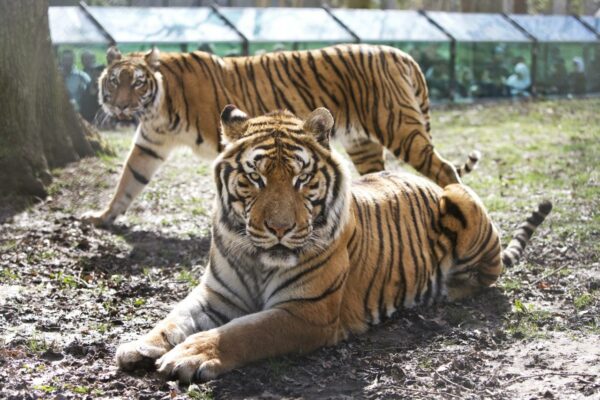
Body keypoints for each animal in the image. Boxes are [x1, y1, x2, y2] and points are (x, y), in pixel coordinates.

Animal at [85, 44, 474, 227]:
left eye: (137, 83)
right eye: (114, 81)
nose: (121, 107)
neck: (157, 110)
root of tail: (402, 53)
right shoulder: (148, 145)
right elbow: (127, 182)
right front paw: (103, 217)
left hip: (398, 127)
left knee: (445, 169)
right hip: (362, 142)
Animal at [115, 105, 552, 382]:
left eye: (301, 179)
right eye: (255, 178)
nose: (279, 228)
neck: (258, 259)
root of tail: (424, 182)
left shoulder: (307, 311)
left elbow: (245, 330)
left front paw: (191, 354)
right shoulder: (216, 296)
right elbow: (174, 318)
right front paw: (139, 345)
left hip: (459, 195)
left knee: (489, 273)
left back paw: (451, 288)